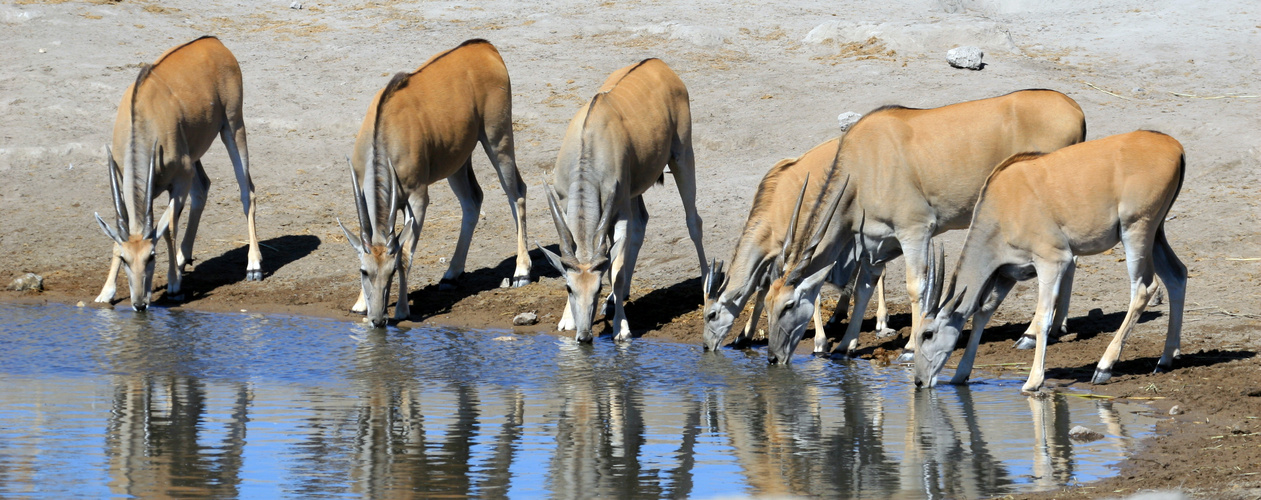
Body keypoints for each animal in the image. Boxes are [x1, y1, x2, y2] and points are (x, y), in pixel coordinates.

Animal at [93, 35, 263, 309]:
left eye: (151, 257)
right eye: (126, 260)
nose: (139, 303)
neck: (143, 117)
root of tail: (214, 42)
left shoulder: (180, 180)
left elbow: (168, 228)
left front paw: (173, 285)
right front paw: (106, 292)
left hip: (233, 127)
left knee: (247, 191)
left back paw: (254, 265)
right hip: (195, 154)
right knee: (203, 188)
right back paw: (184, 259)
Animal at [337, 39, 529, 327]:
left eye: (391, 272)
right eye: (364, 271)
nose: (378, 320)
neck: (386, 132)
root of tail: (486, 48)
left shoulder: (417, 197)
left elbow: (406, 253)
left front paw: (402, 310)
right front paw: (360, 303)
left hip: (498, 139)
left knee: (516, 192)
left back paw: (521, 272)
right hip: (457, 161)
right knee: (473, 200)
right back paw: (451, 274)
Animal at [542, 57, 711, 340]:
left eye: (597, 288)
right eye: (569, 289)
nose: (585, 336)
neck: (588, 144)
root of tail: (660, 64)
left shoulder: (619, 211)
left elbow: (616, 272)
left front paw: (621, 327)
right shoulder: (567, 207)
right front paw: (567, 319)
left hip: (682, 156)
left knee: (693, 221)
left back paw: (707, 281)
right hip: (635, 189)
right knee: (642, 222)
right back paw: (615, 300)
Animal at [756, 89, 1084, 362]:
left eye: (787, 305)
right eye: (767, 305)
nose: (773, 357)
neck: (863, 166)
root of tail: (1075, 109)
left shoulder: (915, 231)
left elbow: (916, 286)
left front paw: (911, 347)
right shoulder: (876, 246)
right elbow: (863, 289)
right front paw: (844, 345)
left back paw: (1030, 335)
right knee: (1071, 260)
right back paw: (1057, 326)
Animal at [912, 130, 1185, 390]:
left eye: (927, 334)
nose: (918, 381)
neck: (1002, 204)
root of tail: (1174, 147)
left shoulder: (1052, 261)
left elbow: (1043, 317)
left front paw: (1033, 381)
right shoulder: (1007, 273)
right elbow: (982, 313)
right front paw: (960, 375)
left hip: (1136, 230)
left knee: (1144, 288)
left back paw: (1104, 367)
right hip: (1156, 233)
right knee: (1177, 275)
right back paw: (1165, 359)